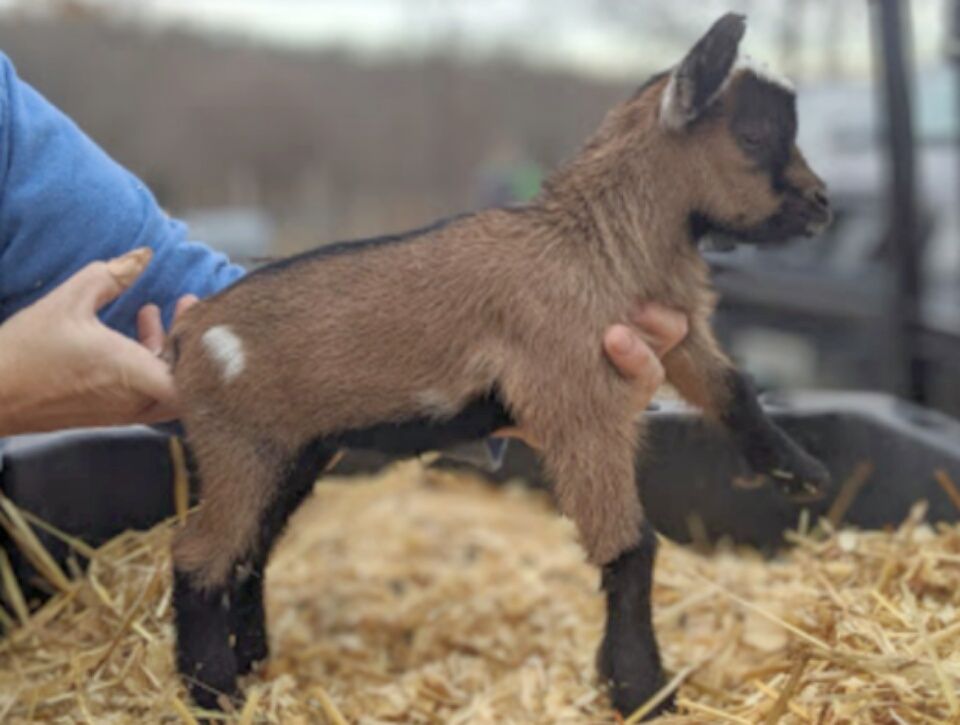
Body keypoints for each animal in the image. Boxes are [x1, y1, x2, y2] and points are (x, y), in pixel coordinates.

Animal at [167, 13, 832, 718]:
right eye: (754, 135)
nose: (823, 203)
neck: (593, 244)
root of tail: (193, 331)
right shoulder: (579, 403)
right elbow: (632, 549)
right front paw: (642, 691)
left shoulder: (667, 338)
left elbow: (732, 388)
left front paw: (801, 474)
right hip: (240, 448)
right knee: (199, 554)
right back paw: (213, 692)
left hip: (291, 453)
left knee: (249, 552)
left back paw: (251, 660)